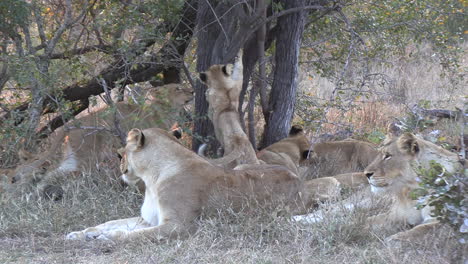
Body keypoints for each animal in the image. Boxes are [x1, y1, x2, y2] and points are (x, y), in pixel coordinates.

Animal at [67, 127, 340, 241]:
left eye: (123, 149)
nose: (117, 157)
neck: (152, 179)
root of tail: (300, 183)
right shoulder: (148, 219)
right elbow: (109, 222)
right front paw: (81, 233)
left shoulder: (180, 226)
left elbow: (128, 234)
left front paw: (106, 238)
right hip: (241, 167)